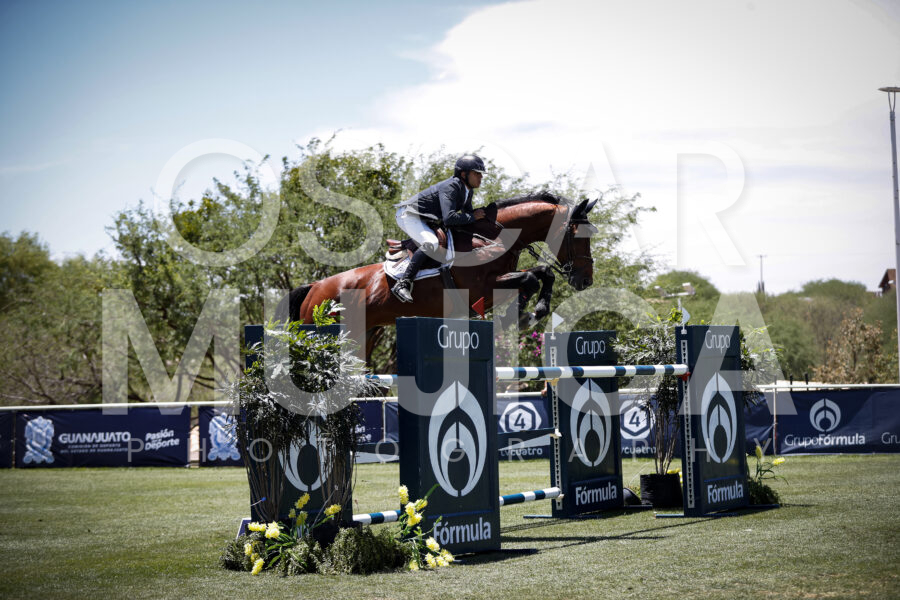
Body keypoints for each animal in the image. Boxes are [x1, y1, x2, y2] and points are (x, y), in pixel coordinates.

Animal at [278, 192, 598, 356]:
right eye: (579, 236)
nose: (586, 281)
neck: (490, 237)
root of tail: (315, 287)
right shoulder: (482, 289)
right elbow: (531, 278)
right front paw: (518, 317)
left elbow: (543, 273)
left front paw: (535, 311)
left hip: (364, 336)